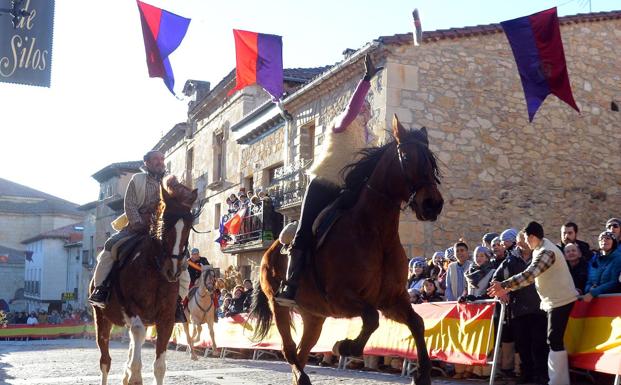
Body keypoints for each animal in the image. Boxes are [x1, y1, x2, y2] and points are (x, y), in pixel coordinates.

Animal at [91, 176, 196, 384]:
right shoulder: (134, 311)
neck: (155, 270)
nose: (173, 270)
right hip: (101, 318)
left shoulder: (166, 318)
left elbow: (159, 367)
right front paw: (134, 374)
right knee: (105, 361)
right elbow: (137, 344)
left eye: (188, 228)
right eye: (165, 223)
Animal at [249, 115, 444, 384]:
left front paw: (423, 374)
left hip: (314, 315)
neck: (375, 233)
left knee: (301, 351)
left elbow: (417, 322)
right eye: (406, 157)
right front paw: (345, 346)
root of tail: (270, 250)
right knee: (289, 350)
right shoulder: (341, 297)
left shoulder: (392, 299)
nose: (432, 204)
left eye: (431, 160)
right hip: (278, 305)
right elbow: (371, 318)